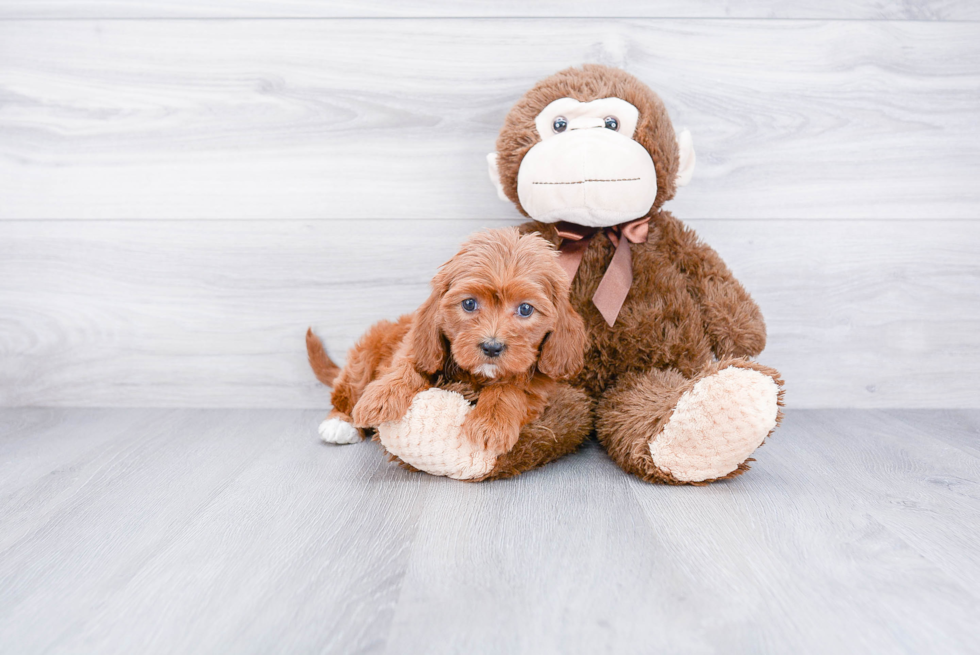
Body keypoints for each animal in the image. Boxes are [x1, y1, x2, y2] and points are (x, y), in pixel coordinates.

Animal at [306, 226, 584, 456]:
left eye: (525, 309)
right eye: (469, 304)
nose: (492, 347)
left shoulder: (537, 385)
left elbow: (509, 389)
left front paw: (491, 423)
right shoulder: (419, 345)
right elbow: (407, 366)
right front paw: (382, 397)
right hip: (366, 353)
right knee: (347, 388)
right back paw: (339, 422)